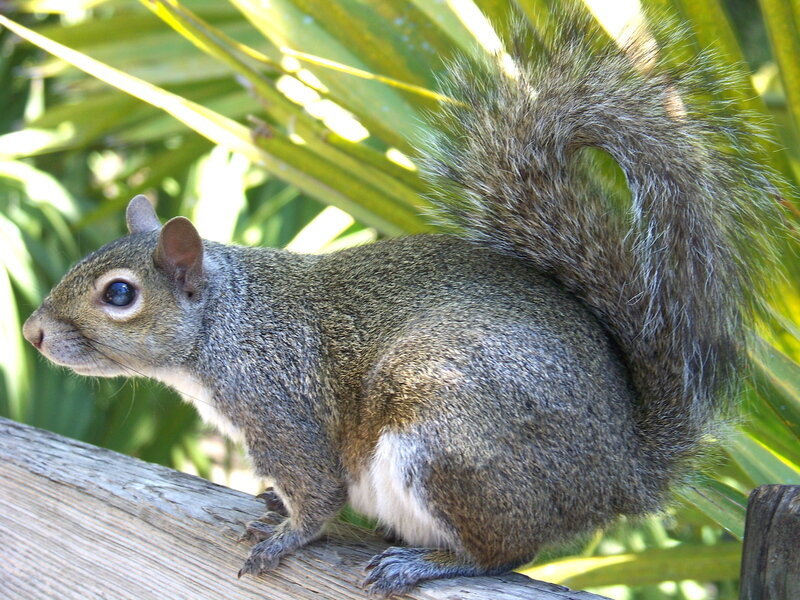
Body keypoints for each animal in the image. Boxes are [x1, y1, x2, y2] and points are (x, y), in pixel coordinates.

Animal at [23, 10, 781, 598]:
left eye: (120, 294)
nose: (31, 332)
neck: (227, 326)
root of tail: (622, 470)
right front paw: (270, 507)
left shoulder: (280, 409)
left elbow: (317, 494)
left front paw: (285, 538)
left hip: (449, 441)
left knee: (507, 552)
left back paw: (424, 564)